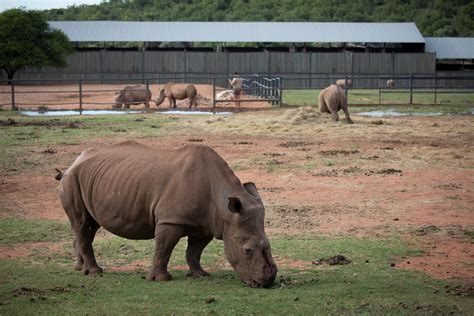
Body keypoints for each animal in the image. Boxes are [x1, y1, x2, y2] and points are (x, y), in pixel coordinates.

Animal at [57, 142, 276, 288]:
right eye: (247, 251)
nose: (267, 281)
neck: (223, 207)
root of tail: (72, 162)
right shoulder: (171, 220)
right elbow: (163, 248)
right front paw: (161, 279)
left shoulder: (207, 224)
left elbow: (194, 251)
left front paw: (199, 275)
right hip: (71, 180)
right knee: (81, 224)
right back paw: (95, 273)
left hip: (92, 180)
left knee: (89, 226)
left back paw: (80, 268)